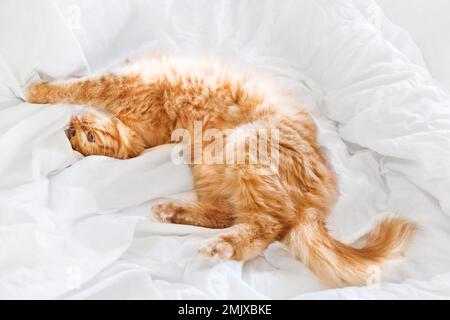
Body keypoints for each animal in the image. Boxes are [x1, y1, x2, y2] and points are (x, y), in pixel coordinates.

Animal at [27, 55, 414, 288]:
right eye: (79, 138)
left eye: (89, 137)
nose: (71, 128)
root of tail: (312, 206)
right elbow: (82, 85)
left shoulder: (126, 81)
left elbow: (80, 84)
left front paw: (37, 88)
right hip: (213, 168)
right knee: (232, 217)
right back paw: (175, 212)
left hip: (247, 152)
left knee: (265, 228)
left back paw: (220, 247)